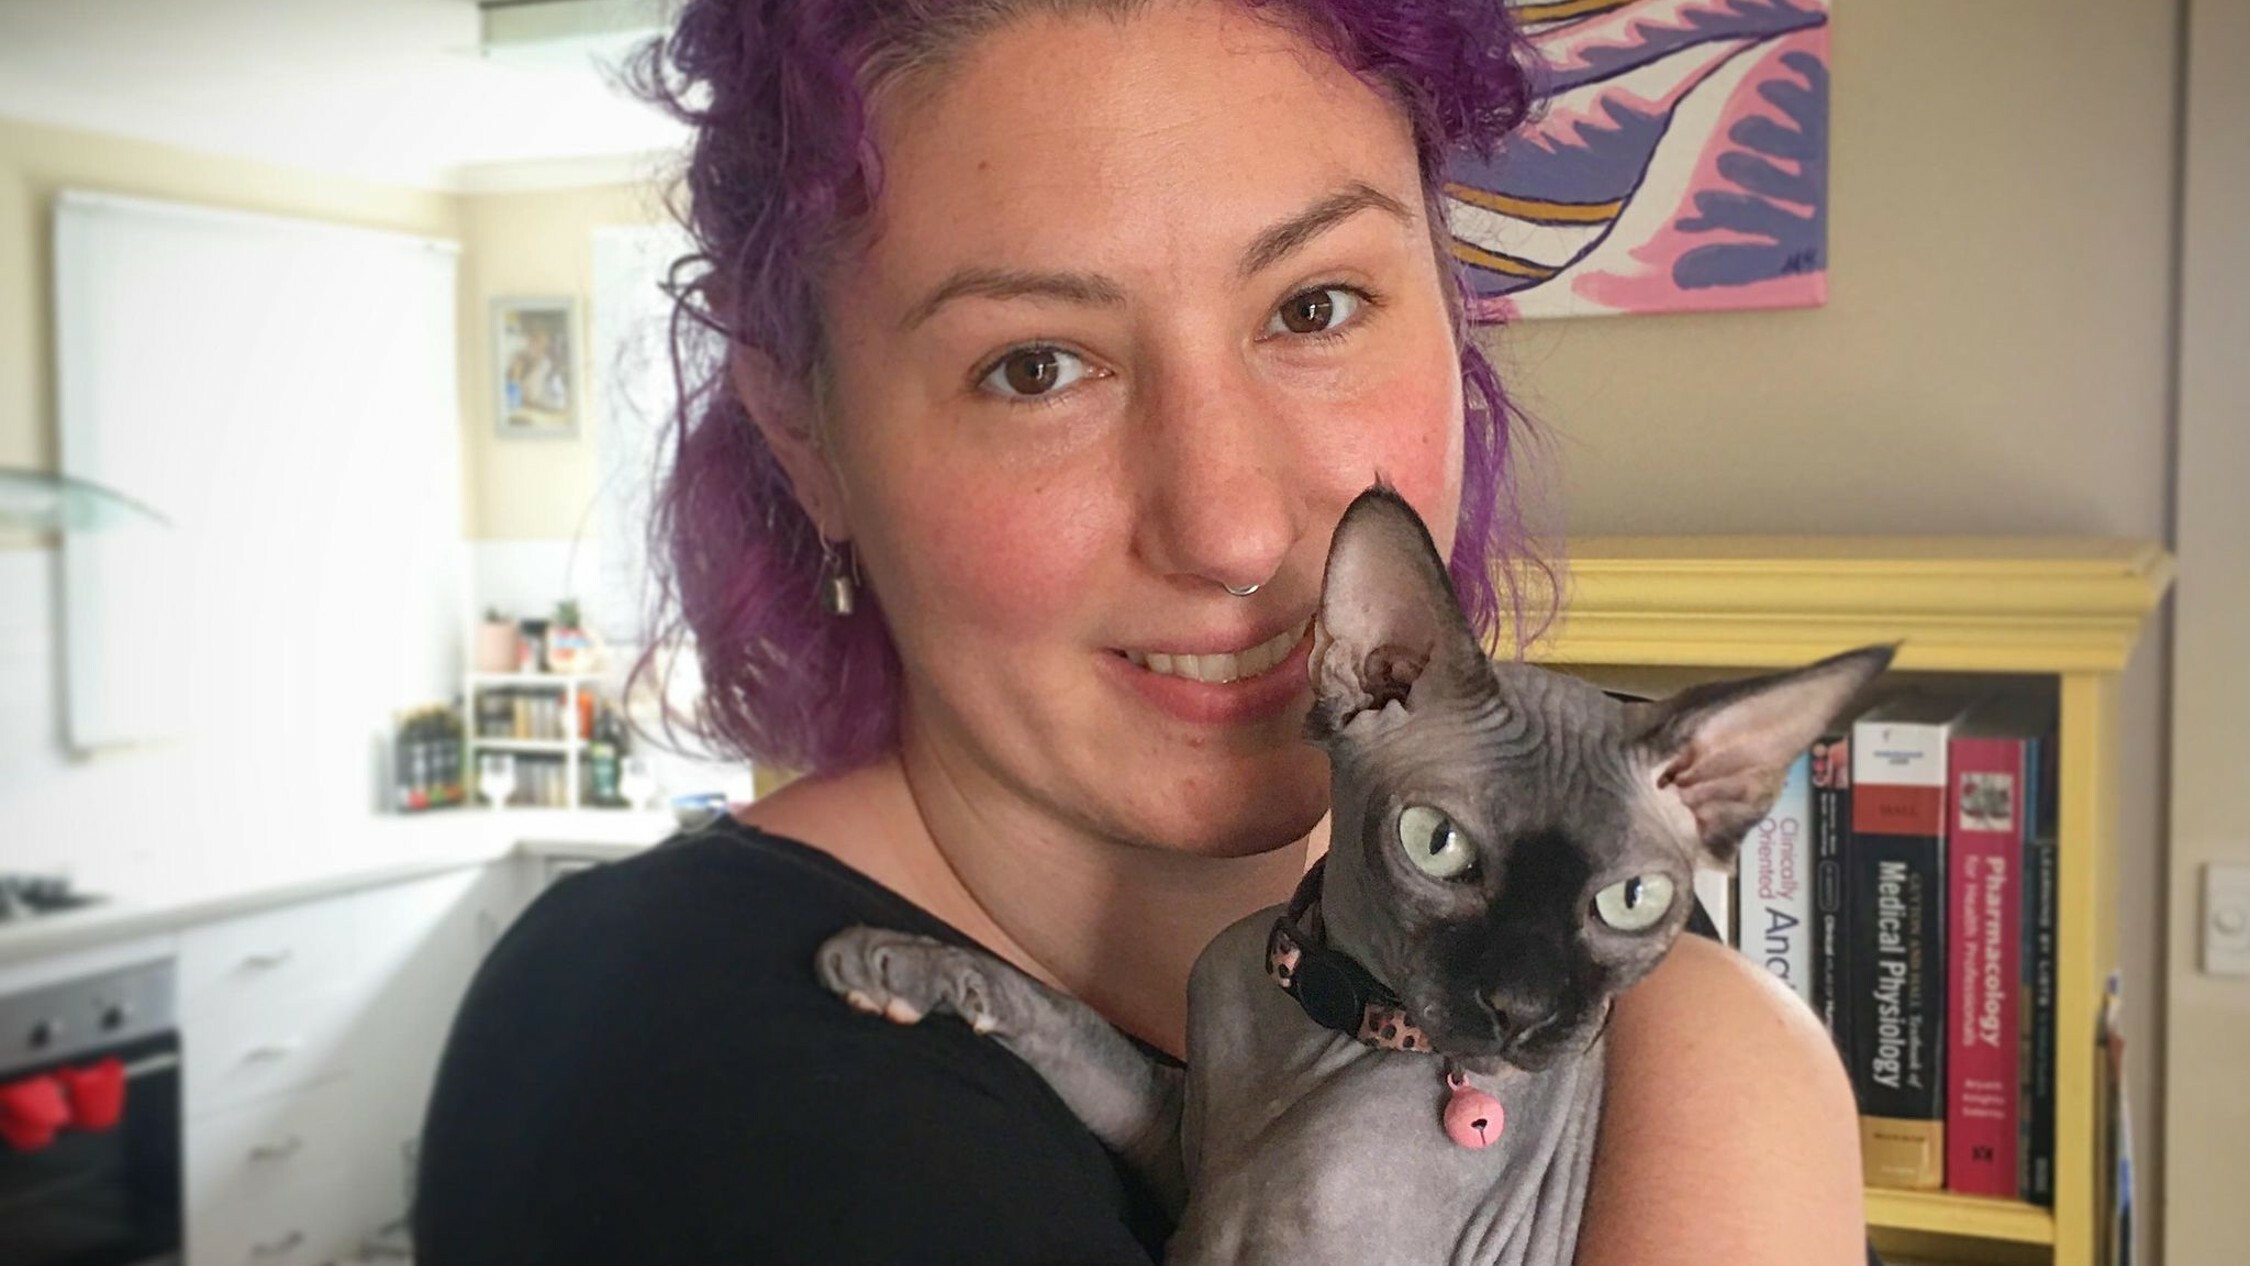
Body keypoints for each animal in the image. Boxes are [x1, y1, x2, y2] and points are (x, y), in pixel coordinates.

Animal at [819, 487, 1890, 1266]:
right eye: (1436, 843)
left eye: (1632, 901)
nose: (1522, 1012)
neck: (1324, 1031)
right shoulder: (1184, 1150)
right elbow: (1067, 1019)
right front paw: (900, 964)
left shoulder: (1260, 1246)